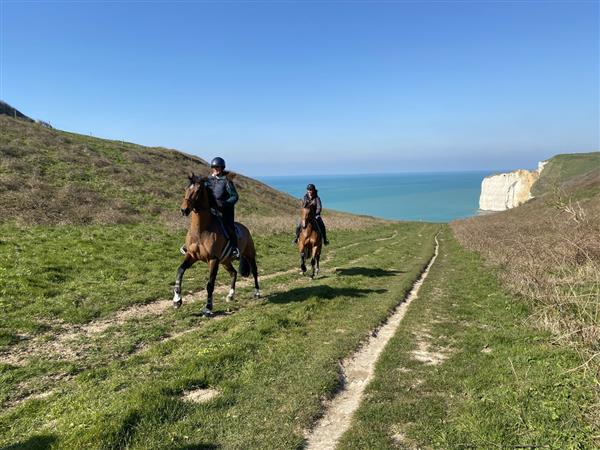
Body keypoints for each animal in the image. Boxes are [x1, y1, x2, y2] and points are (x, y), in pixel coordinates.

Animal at [172, 172, 258, 316]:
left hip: (249, 255)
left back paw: (257, 292)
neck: (201, 231)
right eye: (186, 189)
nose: (184, 210)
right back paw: (230, 295)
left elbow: (210, 284)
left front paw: (208, 307)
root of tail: (245, 228)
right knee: (233, 273)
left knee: (255, 271)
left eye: (198, 190)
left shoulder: (213, 260)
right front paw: (177, 300)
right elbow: (180, 271)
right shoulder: (191, 256)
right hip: (225, 261)